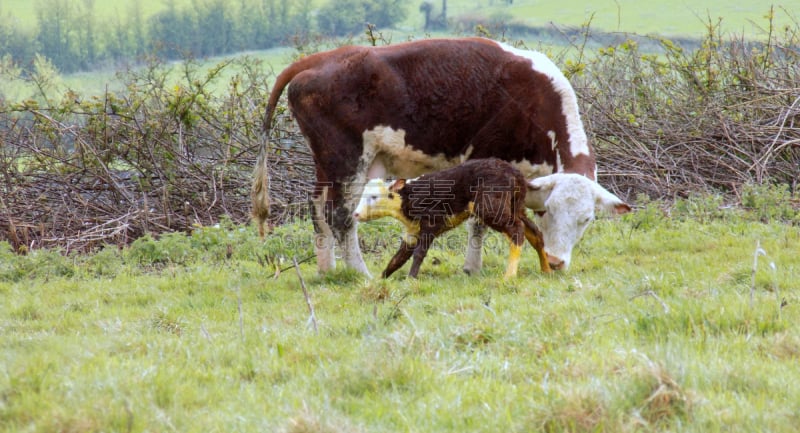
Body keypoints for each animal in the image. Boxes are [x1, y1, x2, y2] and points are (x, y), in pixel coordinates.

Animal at [354, 158, 552, 276]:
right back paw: (546, 270)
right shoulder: (412, 231)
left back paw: (509, 276)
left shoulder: (432, 222)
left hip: (490, 209)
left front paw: (411, 278)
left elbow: (419, 253)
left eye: (374, 197)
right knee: (535, 233)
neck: (408, 196)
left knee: (517, 231)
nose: (356, 214)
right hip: (515, 207)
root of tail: (515, 172)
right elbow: (397, 258)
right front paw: (381, 279)